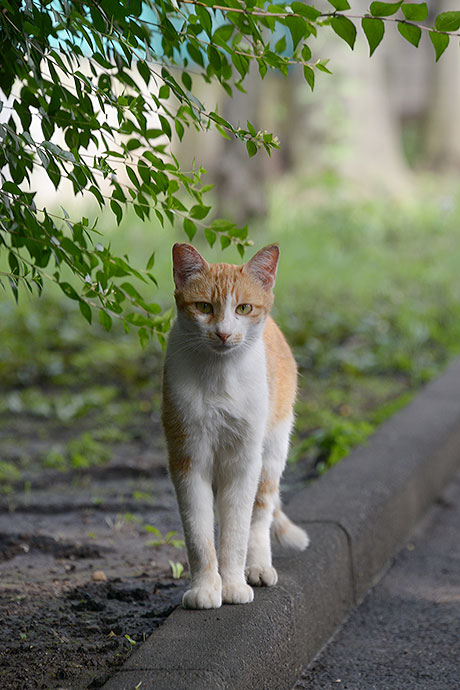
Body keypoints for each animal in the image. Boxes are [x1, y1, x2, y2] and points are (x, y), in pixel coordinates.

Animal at [162, 242, 310, 608]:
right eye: (203, 307)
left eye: (243, 308)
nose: (224, 332)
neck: (219, 376)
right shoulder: (188, 459)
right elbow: (199, 535)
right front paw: (205, 588)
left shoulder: (243, 462)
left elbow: (236, 532)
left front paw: (232, 585)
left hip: (270, 454)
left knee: (260, 515)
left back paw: (257, 566)